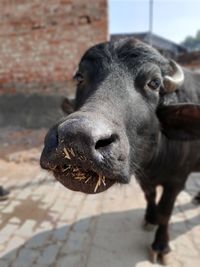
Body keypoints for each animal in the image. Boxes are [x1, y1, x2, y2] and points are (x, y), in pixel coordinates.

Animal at [39, 38, 200, 266]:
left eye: (154, 83)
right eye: (80, 77)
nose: (77, 138)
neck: (153, 163)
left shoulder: (177, 181)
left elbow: (165, 213)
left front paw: (161, 246)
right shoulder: (144, 177)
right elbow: (150, 196)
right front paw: (149, 218)